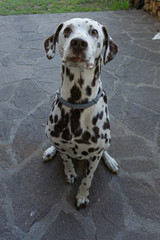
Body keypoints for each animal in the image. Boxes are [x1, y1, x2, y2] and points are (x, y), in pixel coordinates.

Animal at [42, 17, 119, 208]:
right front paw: (69, 172)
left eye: (94, 32)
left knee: (106, 150)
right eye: (67, 30)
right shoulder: (62, 145)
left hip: (108, 140)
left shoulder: (95, 155)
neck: (77, 104)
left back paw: (110, 161)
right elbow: (66, 159)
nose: (78, 42)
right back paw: (50, 151)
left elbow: (88, 177)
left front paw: (82, 195)